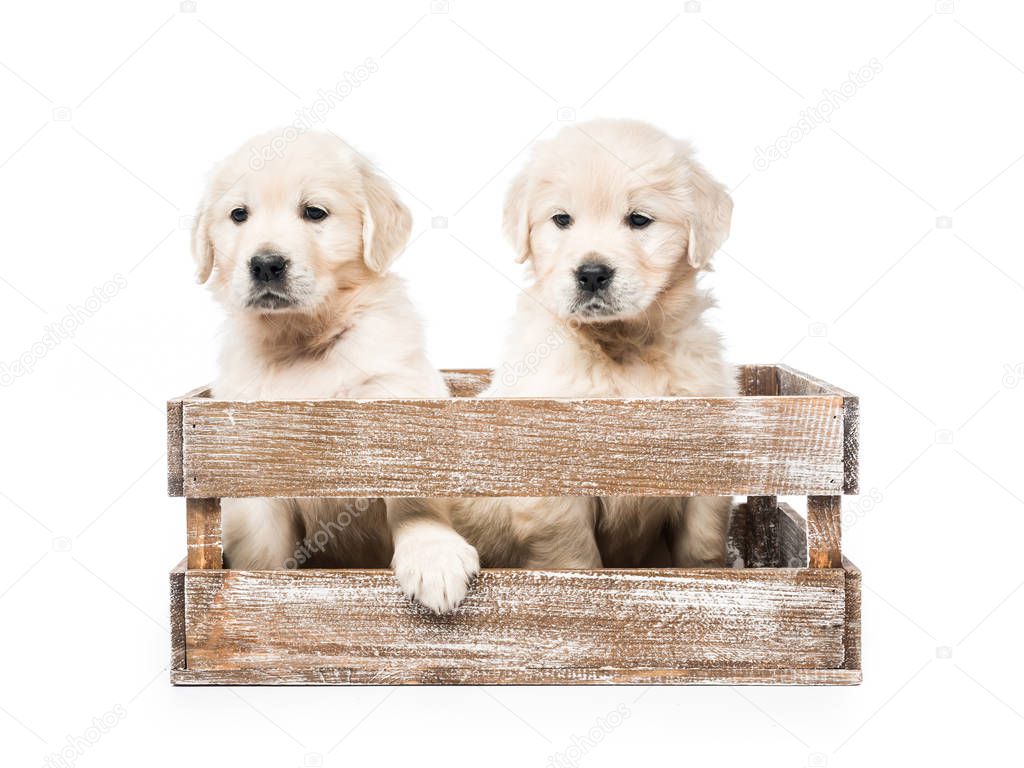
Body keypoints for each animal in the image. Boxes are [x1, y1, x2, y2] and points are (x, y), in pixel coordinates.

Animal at [192, 131, 479, 614]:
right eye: (238, 215)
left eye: (314, 212)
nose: (265, 264)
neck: (304, 342)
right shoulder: (250, 465)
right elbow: (264, 547)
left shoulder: (397, 400)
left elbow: (412, 495)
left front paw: (432, 556)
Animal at [456, 118, 737, 565]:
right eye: (561, 219)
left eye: (639, 219)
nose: (591, 274)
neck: (624, 345)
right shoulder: (553, 490)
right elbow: (576, 558)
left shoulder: (707, 471)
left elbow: (702, 546)